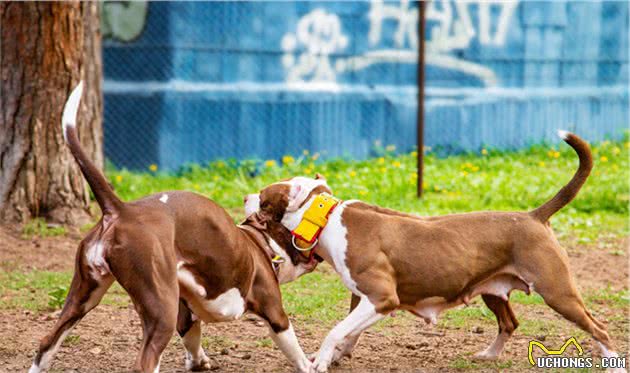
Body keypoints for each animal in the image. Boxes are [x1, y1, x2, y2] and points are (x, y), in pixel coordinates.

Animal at [27, 83, 318, 372]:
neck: (260, 241)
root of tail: (121, 210)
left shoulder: (185, 315)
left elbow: (192, 339)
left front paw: (198, 361)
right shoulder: (275, 313)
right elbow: (294, 348)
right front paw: (309, 364)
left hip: (84, 295)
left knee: (46, 343)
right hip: (159, 310)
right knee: (145, 361)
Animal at [247, 130, 628, 370]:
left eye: (264, 198)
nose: (245, 196)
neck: (327, 218)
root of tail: (533, 215)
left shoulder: (382, 298)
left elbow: (336, 330)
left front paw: (323, 359)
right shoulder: (363, 298)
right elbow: (348, 331)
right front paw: (336, 356)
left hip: (557, 291)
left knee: (598, 326)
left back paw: (611, 362)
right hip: (493, 289)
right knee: (509, 322)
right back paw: (488, 356)